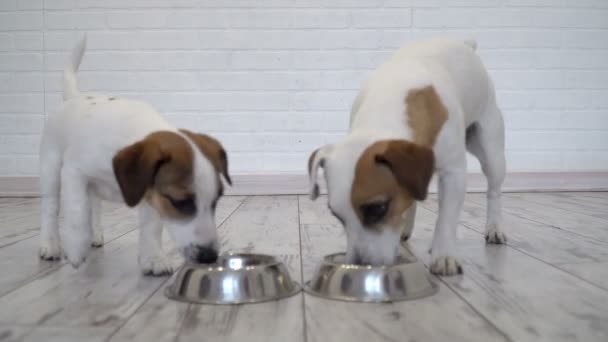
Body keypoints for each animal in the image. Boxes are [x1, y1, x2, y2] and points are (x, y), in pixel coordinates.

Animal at [38, 34, 233, 276]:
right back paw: (50, 244)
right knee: (51, 207)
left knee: (95, 205)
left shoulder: (150, 193)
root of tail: (74, 97)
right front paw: (75, 247)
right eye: (179, 202)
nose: (209, 257)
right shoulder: (74, 172)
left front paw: (153, 257)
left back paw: (96, 234)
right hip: (51, 170)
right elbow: (76, 211)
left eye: (216, 200)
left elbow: (151, 227)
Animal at [306, 36, 506, 276]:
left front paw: (444, 255)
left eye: (378, 208)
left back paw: (494, 227)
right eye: (336, 215)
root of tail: (466, 44)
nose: (360, 265)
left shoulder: (453, 173)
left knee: (493, 192)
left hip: (491, 152)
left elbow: (447, 219)